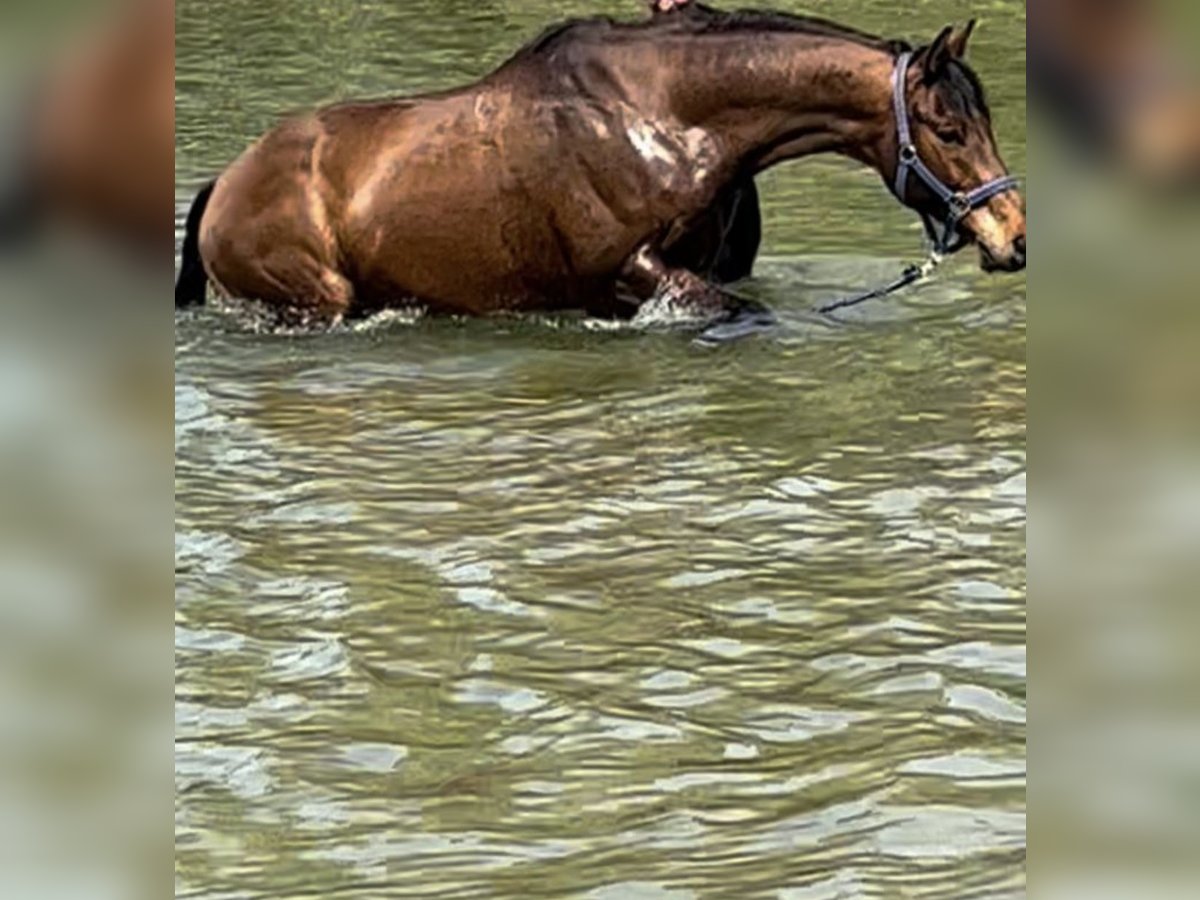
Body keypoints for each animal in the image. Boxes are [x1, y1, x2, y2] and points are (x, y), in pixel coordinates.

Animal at [175, 8, 1022, 333]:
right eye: (950, 129)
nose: (1013, 237)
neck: (667, 112)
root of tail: (224, 184)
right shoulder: (627, 270)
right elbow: (740, 312)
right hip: (315, 300)